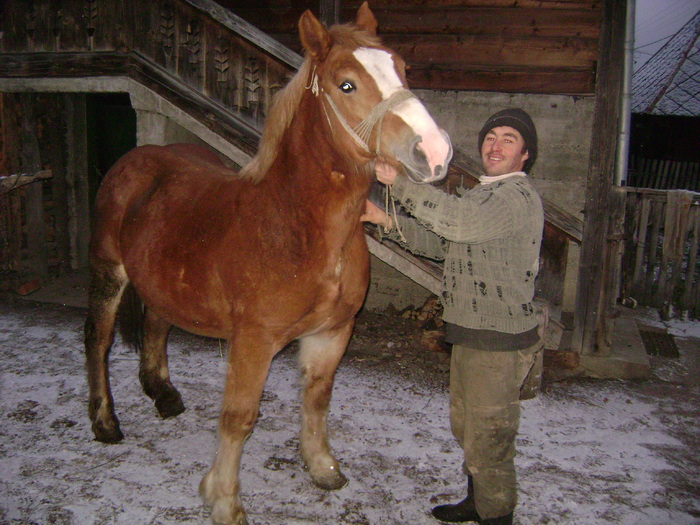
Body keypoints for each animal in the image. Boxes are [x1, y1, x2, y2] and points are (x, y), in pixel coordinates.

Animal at [83, 5, 454, 524]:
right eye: (346, 85)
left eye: (401, 68)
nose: (435, 151)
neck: (300, 228)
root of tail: (135, 160)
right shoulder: (254, 342)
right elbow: (239, 418)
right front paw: (223, 499)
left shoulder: (332, 333)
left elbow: (317, 400)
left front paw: (322, 468)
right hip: (108, 273)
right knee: (97, 341)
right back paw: (104, 422)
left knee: (157, 323)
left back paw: (164, 394)